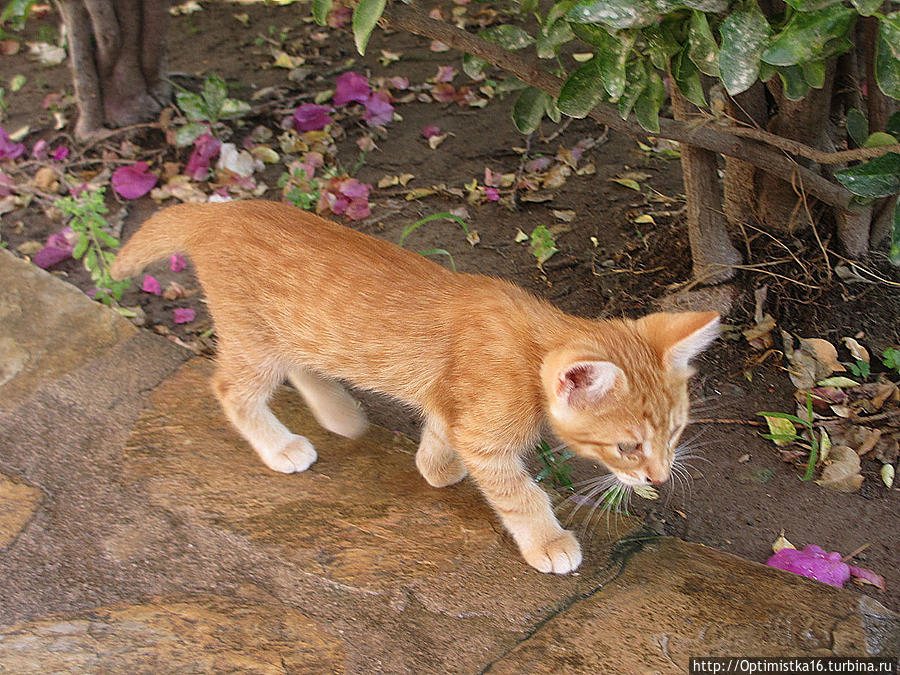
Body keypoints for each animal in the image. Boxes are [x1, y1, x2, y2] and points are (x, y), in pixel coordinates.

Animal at [110, 201, 716, 576]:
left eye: (676, 433)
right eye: (627, 447)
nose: (659, 477)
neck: (529, 346)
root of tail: (218, 208)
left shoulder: (454, 406)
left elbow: (441, 430)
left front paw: (435, 465)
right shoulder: (487, 435)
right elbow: (520, 493)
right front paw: (548, 541)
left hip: (297, 333)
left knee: (304, 365)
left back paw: (340, 414)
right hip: (254, 340)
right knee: (232, 389)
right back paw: (281, 446)